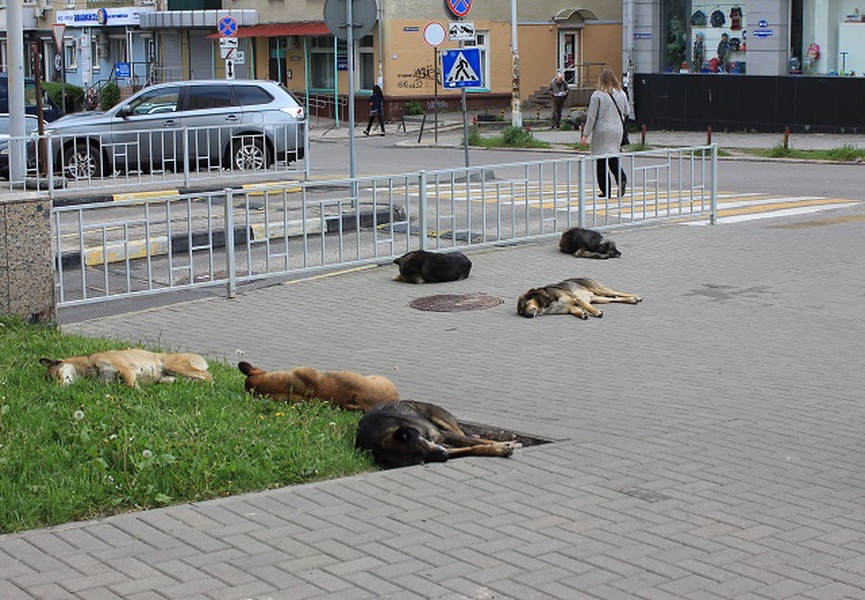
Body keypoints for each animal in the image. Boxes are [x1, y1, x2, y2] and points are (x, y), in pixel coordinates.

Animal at [512, 278, 640, 322]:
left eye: (526, 304)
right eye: (522, 313)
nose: (528, 316)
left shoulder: (575, 298)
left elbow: (588, 307)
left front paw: (596, 313)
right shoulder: (570, 308)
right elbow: (577, 311)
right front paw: (583, 314)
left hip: (599, 289)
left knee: (617, 293)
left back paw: (636, 296)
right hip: (599, 299)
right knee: (615, 299)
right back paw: (631, 300)